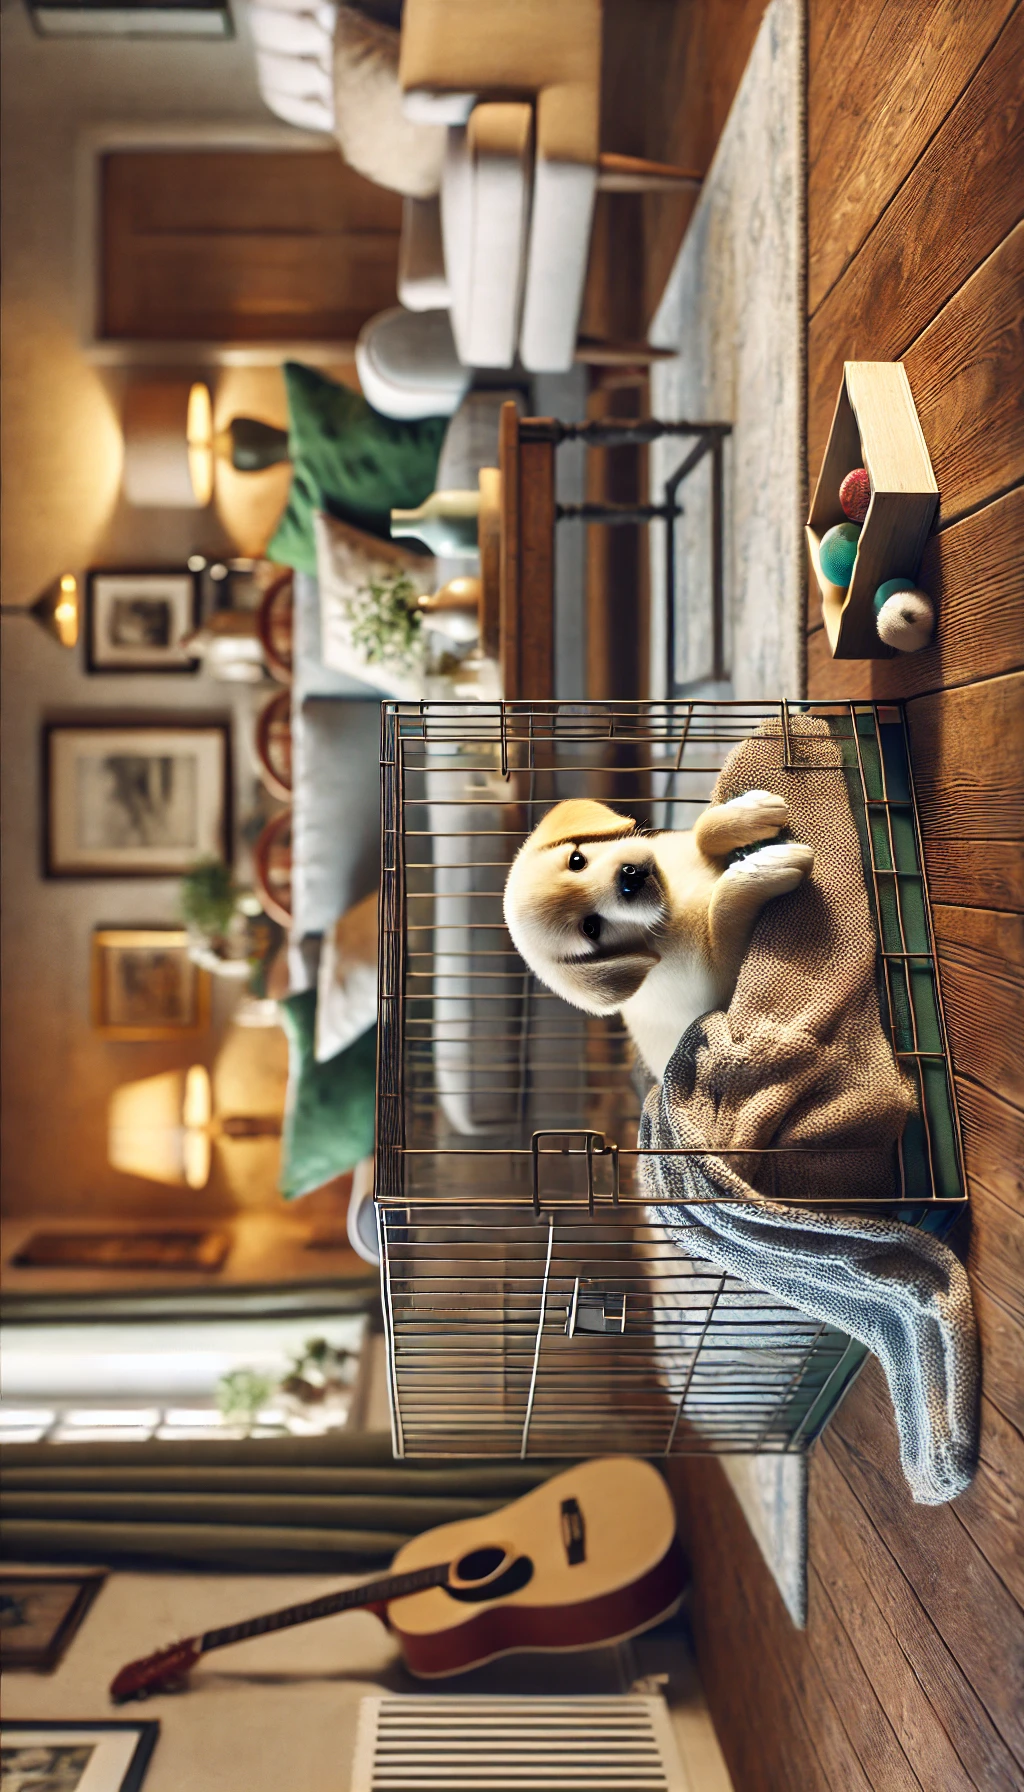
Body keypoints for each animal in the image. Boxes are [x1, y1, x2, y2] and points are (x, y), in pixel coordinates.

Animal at [505, 795, 817, 1075]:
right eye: (591, 928)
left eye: (577, 860)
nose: (629, 878)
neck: (669, 905)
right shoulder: (721, 988)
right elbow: (723, 910)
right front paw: (761, 870)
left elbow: (701, 830)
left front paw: (747, 814)